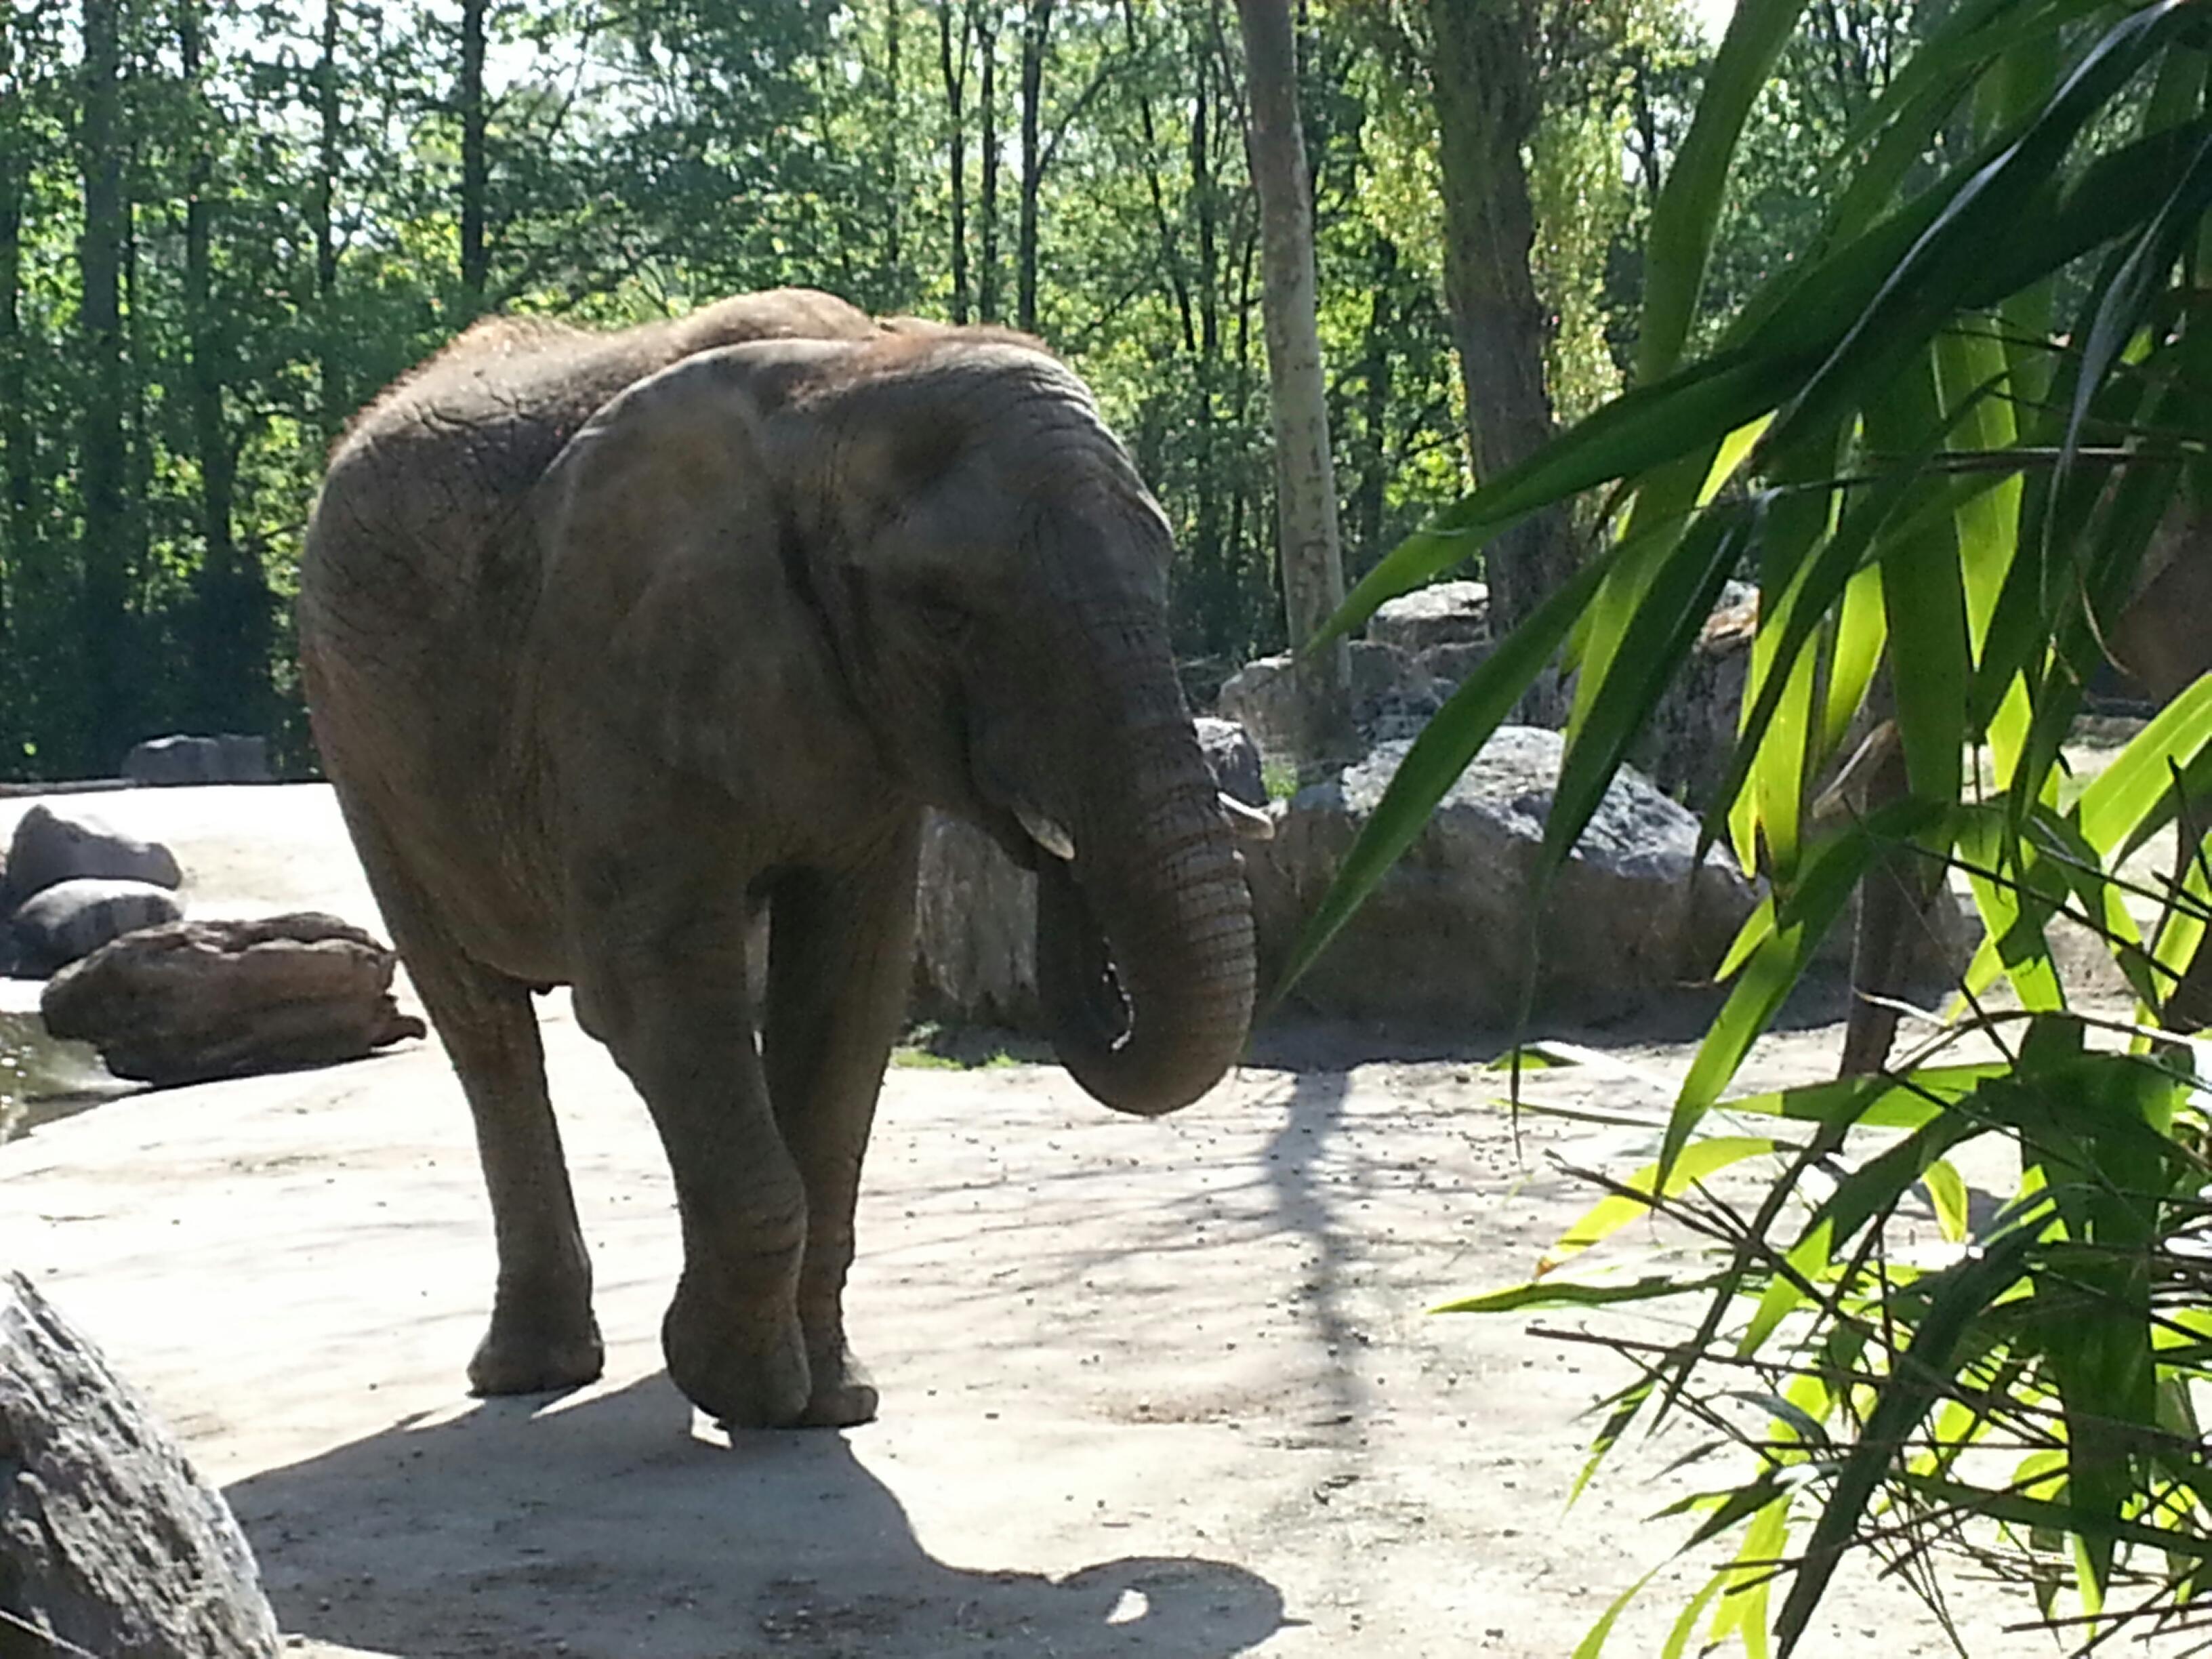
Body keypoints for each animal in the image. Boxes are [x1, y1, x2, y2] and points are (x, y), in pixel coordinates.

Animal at [298, 285, 1265, 1433]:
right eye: (946, 611)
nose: (1045, 841)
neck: (850, 380)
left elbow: (849, 994)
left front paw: (833, 1400)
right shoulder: (606, 663)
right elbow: (653, 988)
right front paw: (746, 1390)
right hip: (353, 736)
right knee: (486, 1030)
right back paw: (530, 1373)